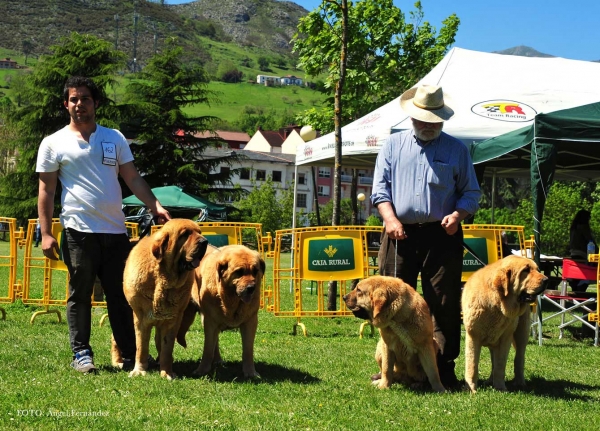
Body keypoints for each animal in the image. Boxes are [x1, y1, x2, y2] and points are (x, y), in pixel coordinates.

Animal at [115, 221, 209, 380]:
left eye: (199, 232)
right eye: (185, 234)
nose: (205, 242)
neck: (162, 277)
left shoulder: (172, 320)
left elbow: (167, 349)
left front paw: (167, 373)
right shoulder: (140, 319)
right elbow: (141, 347)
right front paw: (139, 371)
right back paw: (117, 361)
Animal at [462, 256, 548, 394]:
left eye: (537, 270)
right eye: (525, 270)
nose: (547, 280)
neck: (497, 303)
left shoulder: (505, 339)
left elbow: (500, 365)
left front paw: (500, 388)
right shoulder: (473, 337)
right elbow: (472, 365)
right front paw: (471, 389)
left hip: (521, 335)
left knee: (519, 359)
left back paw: (520, 382)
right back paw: (490, 381)